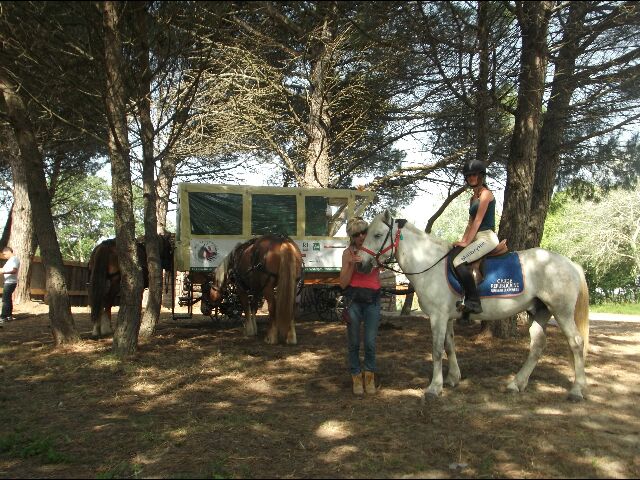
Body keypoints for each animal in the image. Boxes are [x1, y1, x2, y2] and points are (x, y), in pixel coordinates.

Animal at [358, 210, 590, 402]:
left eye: (377, 235)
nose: (360, 264)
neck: (429, 264)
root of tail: (570, 264)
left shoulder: (438, 317)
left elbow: (436, 350)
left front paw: (434, 388)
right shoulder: (447, 317)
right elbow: (449, 346)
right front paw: (452, 378)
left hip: (561, 312)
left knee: (576, 343)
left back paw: (577, 390)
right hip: (539, 312)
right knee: (538, 346)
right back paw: (516, 384)